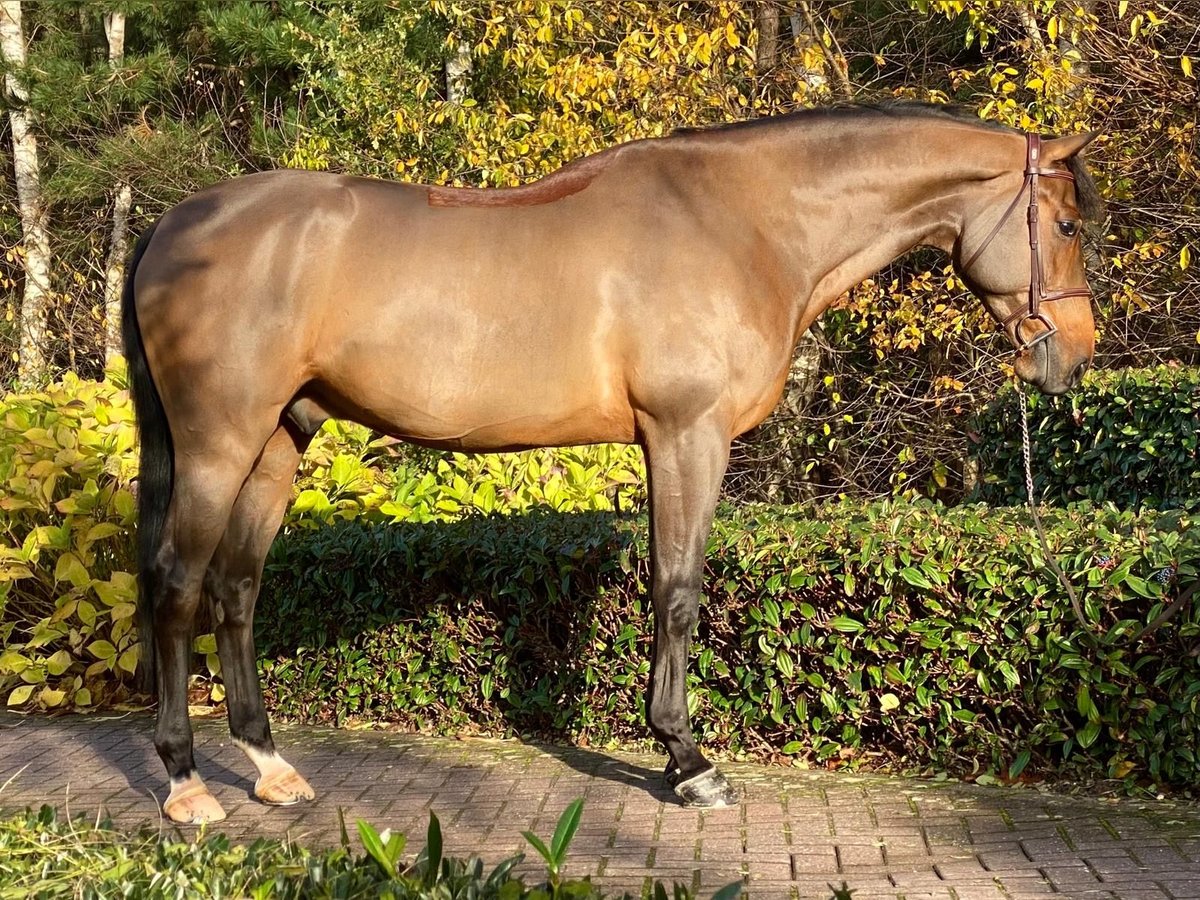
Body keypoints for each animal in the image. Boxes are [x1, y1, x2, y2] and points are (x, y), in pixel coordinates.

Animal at [121, 105, 1099, 825]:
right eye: (1064, 222)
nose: (1075, 354)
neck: (746, 222)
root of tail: (173, 223)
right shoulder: (686, 433)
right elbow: (678, 588)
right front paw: (688, 761)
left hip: (277, 443)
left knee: (237, 589)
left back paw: (272, 768)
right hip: (218, 443)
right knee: (176, 585)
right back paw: (187, 784)